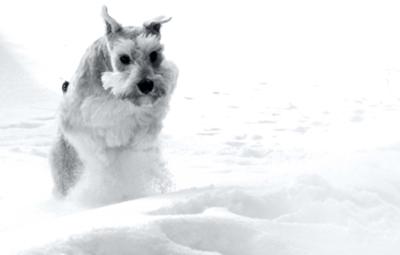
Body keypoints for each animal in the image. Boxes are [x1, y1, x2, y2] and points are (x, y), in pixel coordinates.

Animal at [50, 5, 178, 204]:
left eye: (154, 54)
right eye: (124, 58)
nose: (146, 85)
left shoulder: (150, 118)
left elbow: (143, 137)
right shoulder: (76, 120)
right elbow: (98, 153)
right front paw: (107, 168)